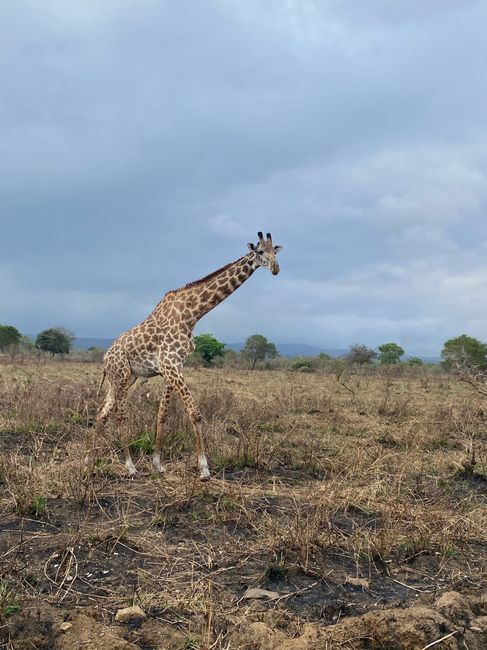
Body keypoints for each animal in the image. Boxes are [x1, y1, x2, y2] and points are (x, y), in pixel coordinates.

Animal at [94, 230, 282, 478]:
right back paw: (130, 466)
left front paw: (158, 464)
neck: (192, 314)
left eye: (275, 251)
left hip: (123, 378)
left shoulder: (172, 367)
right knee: (119, 415)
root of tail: (105, 358)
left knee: (102, 413)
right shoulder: (171, 365)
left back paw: (90, 459)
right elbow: (195, 412)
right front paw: (204, 469)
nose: (276, 268)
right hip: (122, 376)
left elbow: (162, 414)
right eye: (260, 251)